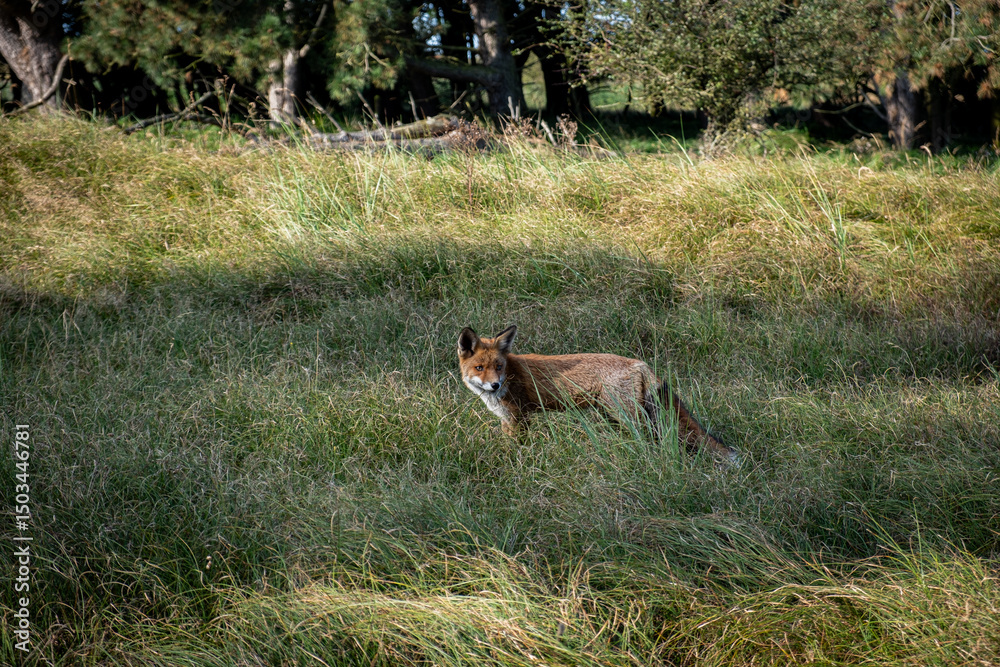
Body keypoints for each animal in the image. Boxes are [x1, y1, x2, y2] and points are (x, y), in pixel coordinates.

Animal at [458, 325, 737, 462]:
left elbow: (516, 447)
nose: (495, 385)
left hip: (626, 416)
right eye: (480, 368)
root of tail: (640, 363)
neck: (511, 374)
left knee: (650, 439)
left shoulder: (518, 418)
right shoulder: (508, 420)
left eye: (499, 367)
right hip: (614, 416)